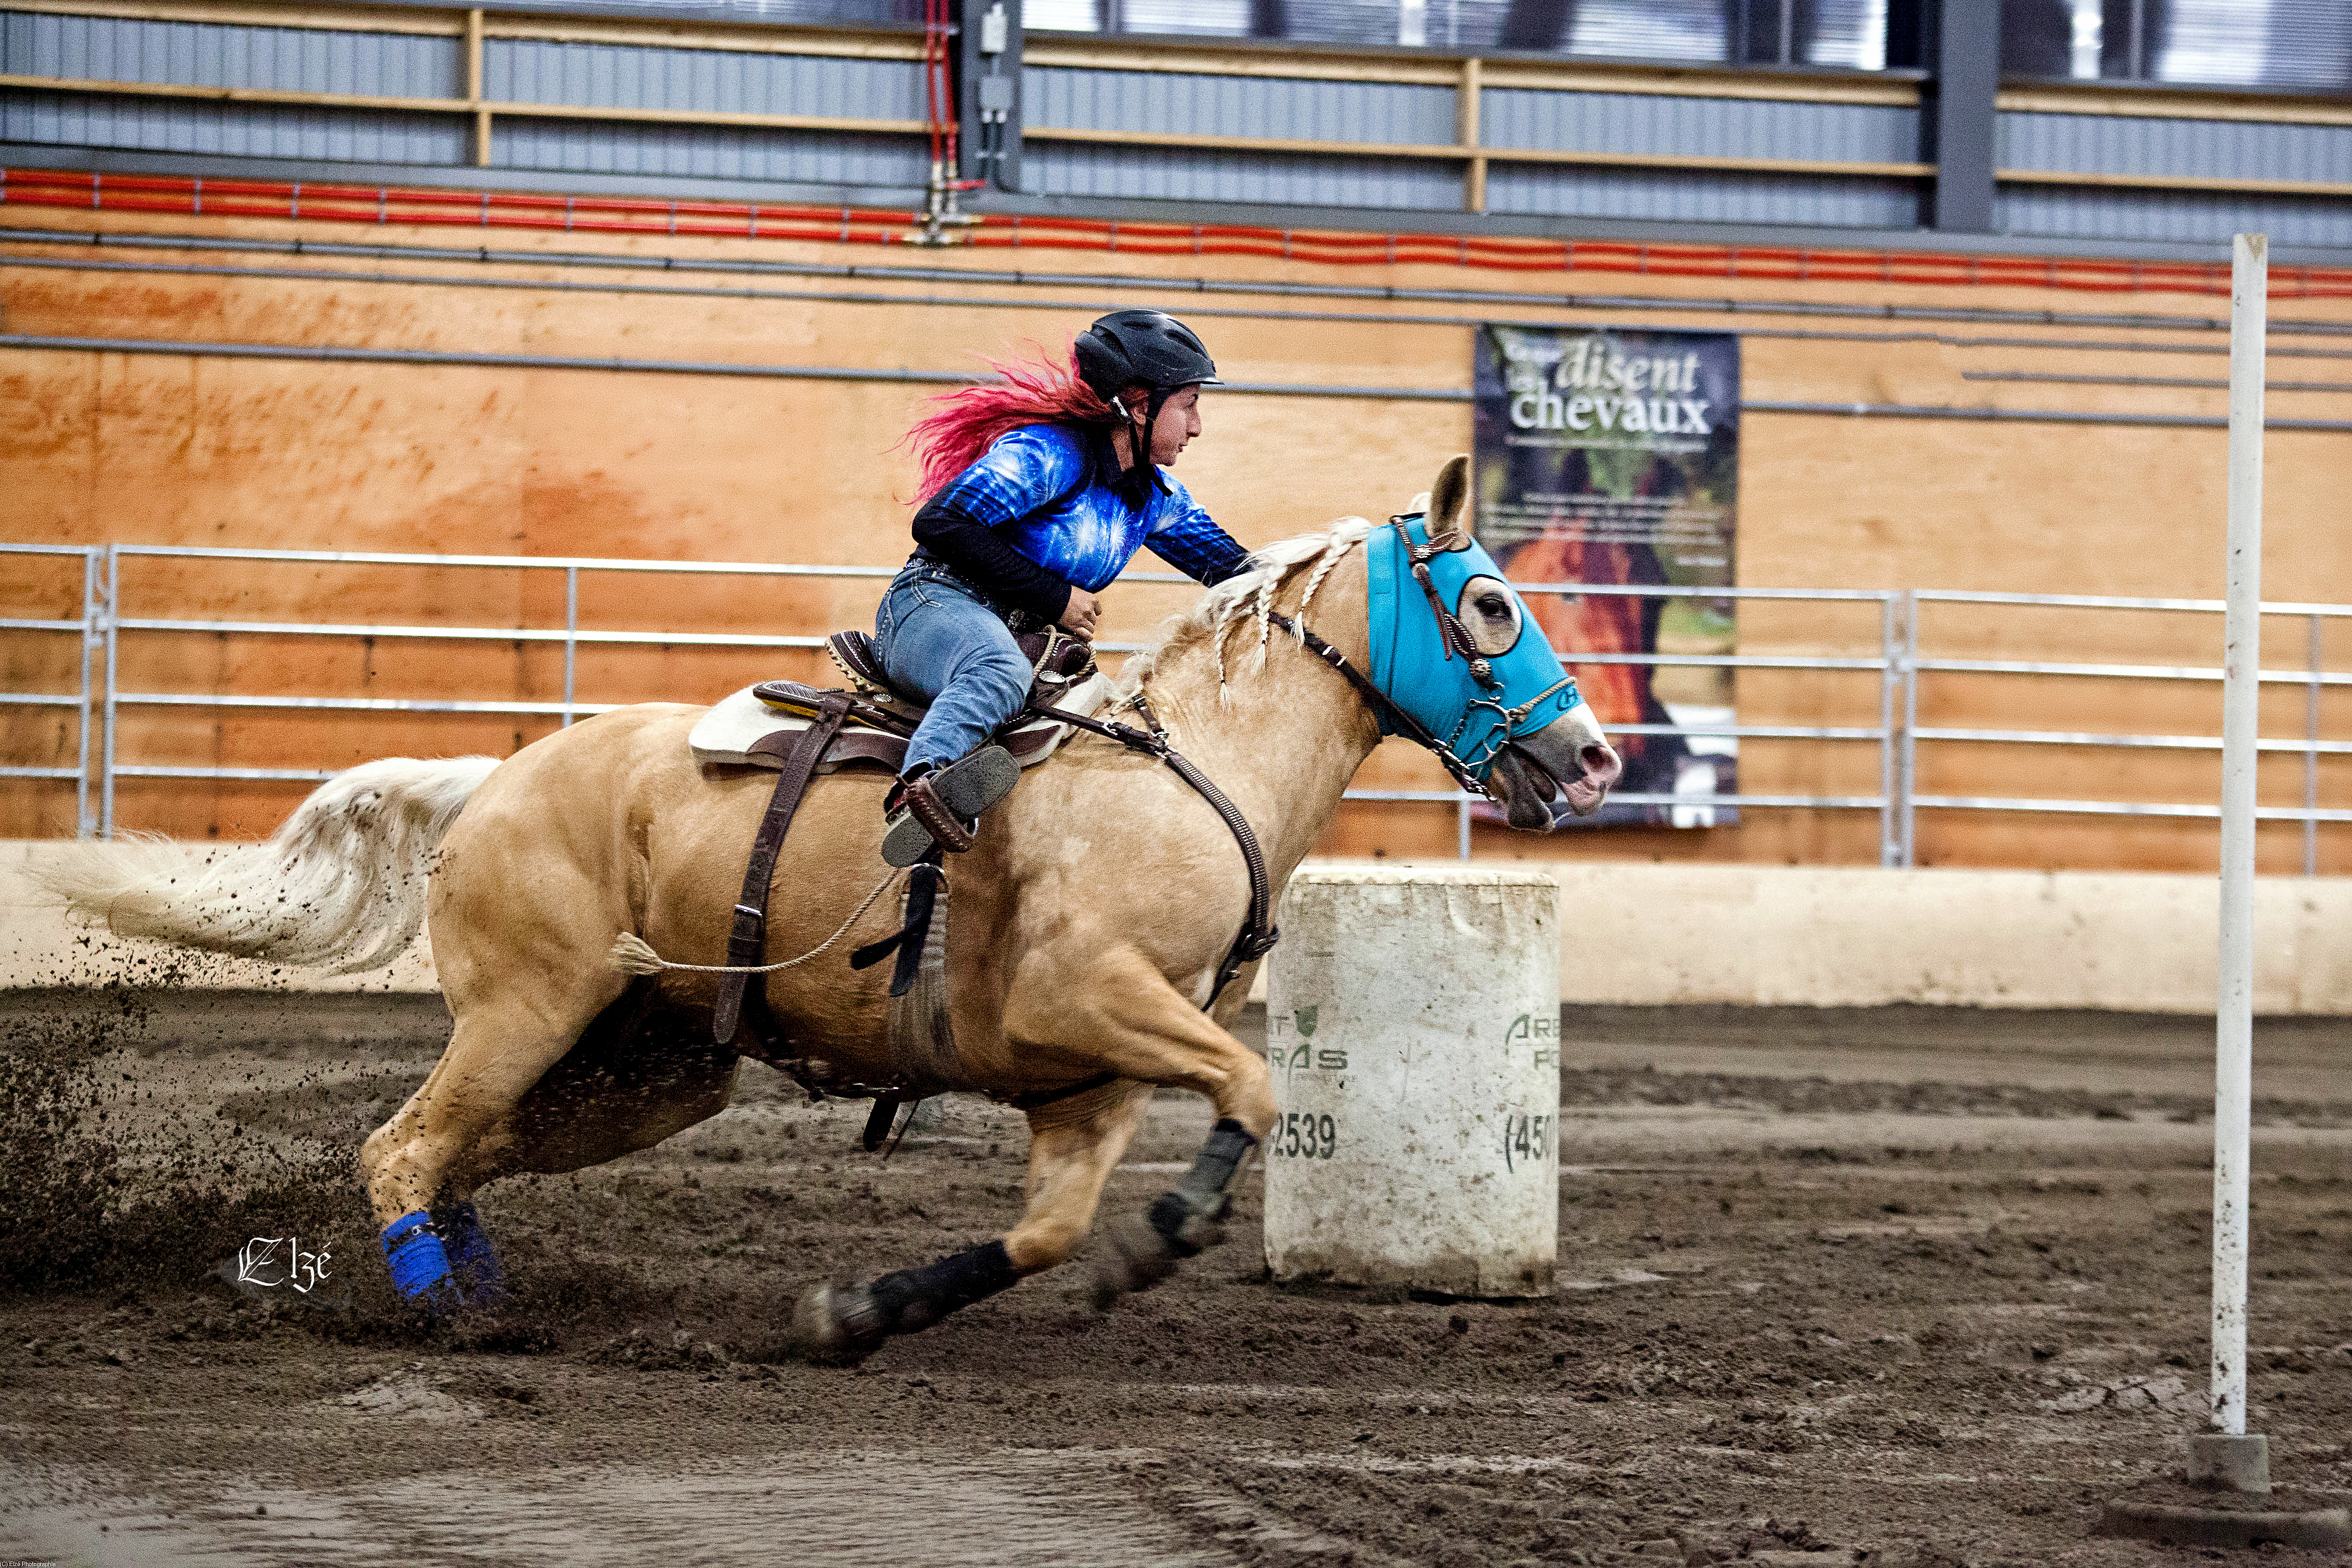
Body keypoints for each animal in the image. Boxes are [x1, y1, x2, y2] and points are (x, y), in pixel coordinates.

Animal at [44, 455, 1622, 1361]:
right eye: (1489, 602)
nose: (1592, 756)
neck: (1192, 769)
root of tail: (489, 780)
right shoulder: (1084, 996)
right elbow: (1247, 1087)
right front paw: (1170, 1229)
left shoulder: (1092, 1080)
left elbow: (1049, 1232)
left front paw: (858, 1312)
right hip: (524, 1011)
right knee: (401, 1146)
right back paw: (447, 1316)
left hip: (642, 1067)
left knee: (458, 1156)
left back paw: (475, 1291)